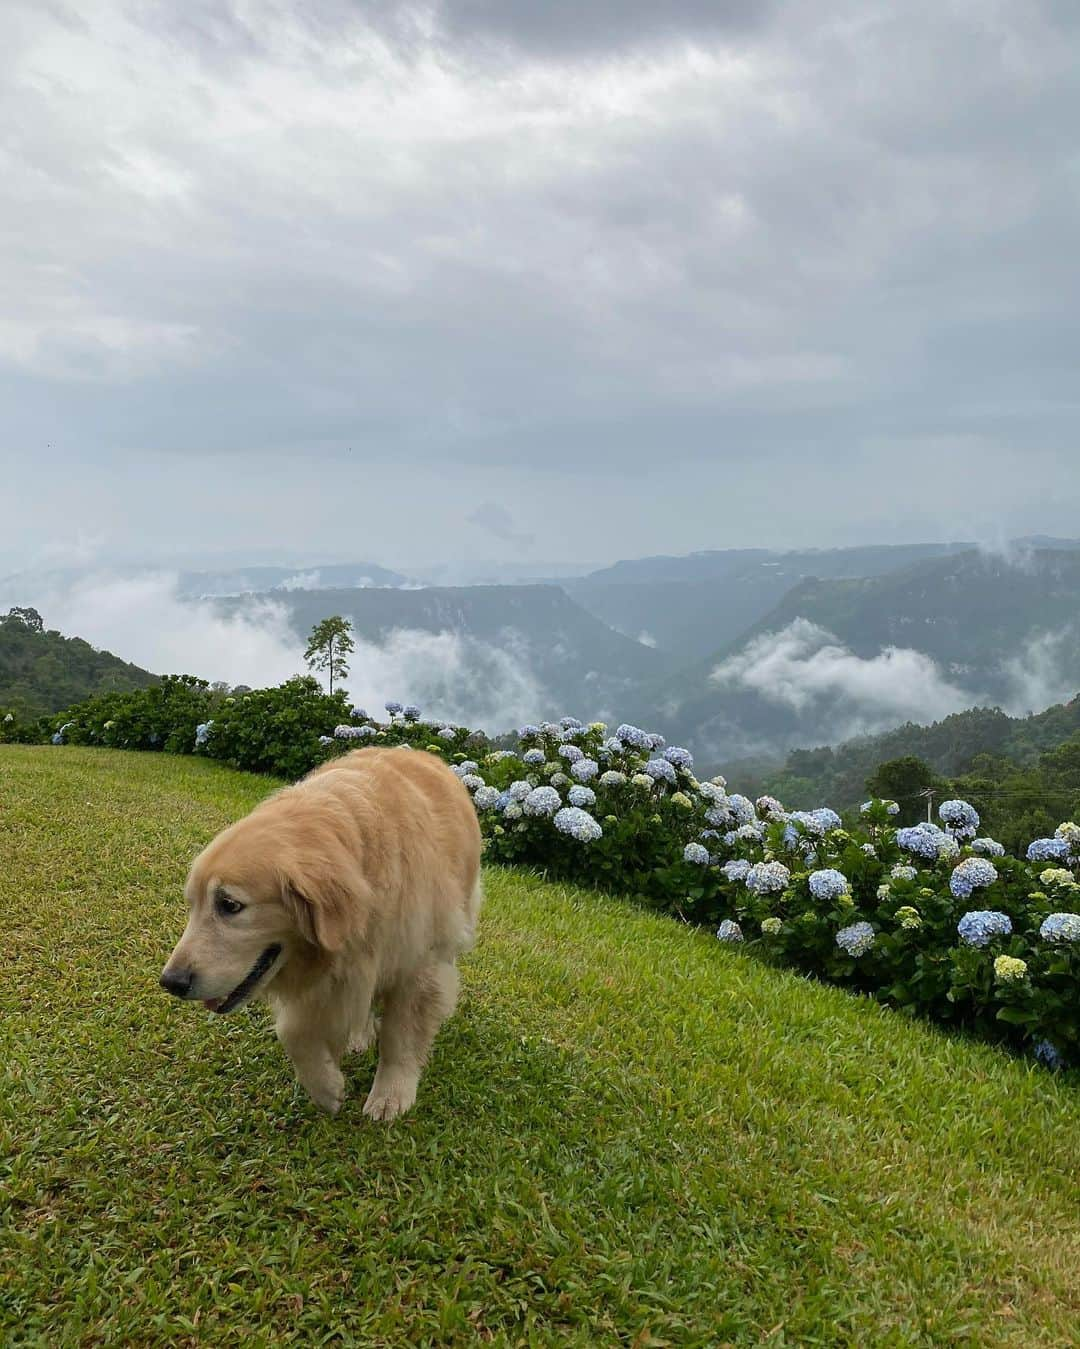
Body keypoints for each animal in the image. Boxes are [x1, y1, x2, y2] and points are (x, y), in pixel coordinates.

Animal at [159, 750, 480, 1116]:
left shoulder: (418, 966)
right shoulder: (324, 976)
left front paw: (391, 1094)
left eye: (229, 905)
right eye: (192, 904)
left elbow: (400, 1036)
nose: (171, 982)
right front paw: (326, 1087)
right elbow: (293, 1032)